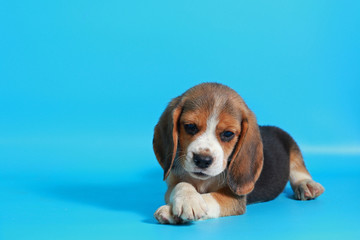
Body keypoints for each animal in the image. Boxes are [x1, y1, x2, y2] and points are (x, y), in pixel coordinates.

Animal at [153, 83, 324, 224]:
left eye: (228, 134)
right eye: (190, 126)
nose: (202, 160)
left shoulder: (234, 197)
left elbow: (209, 198)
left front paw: (189, 204)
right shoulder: (172, 184)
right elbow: (181, 184)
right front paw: (184, 202)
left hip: (293, 148)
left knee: (298, 171)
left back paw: (307, 185)